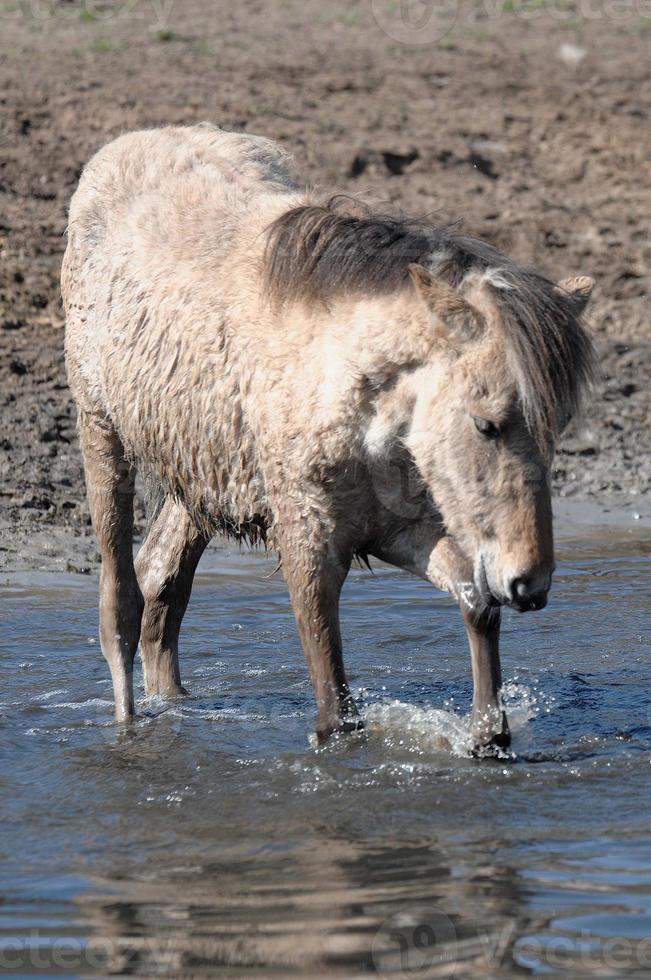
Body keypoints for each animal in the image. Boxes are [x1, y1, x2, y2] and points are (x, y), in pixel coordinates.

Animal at [62, 122, 596, 752]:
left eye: (555, 429)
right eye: (485, 424)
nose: (529, 585)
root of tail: (125, 145)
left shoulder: (395, 530)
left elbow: (474, 600)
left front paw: (488, 736)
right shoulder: (308, 547)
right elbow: (335, 710)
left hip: (200, 477)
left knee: (162, 583)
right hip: (102, 434)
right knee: (121, 600)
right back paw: (128, 725)